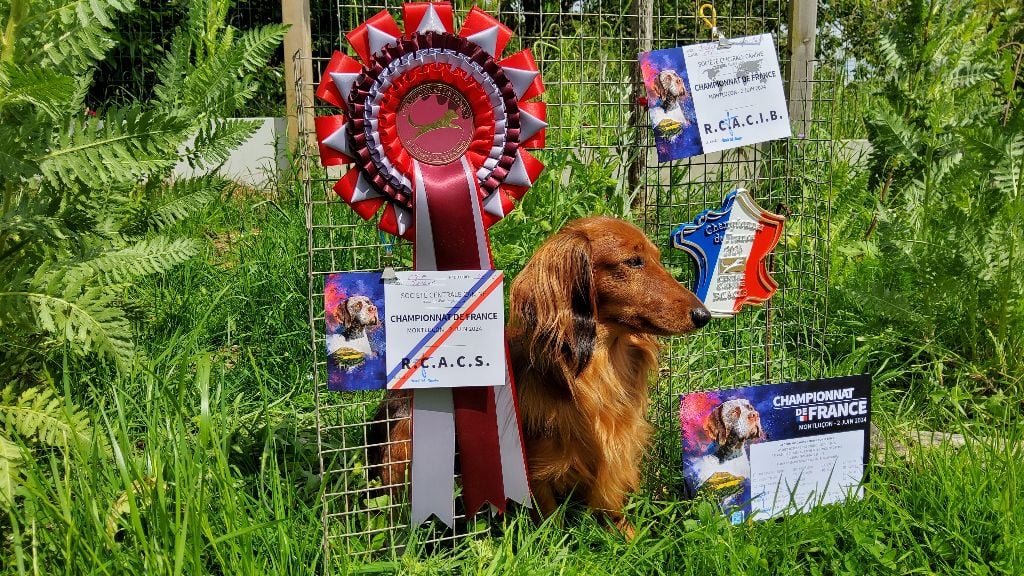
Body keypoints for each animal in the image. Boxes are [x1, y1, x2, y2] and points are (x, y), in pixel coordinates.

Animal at [368, 214, 712, 532]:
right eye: (633, 261)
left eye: (657, 258)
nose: (704, 316)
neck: (596, 370)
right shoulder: (534, 470)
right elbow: (548, 522)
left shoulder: (616, 446)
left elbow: (612, 506)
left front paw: (628, 538)